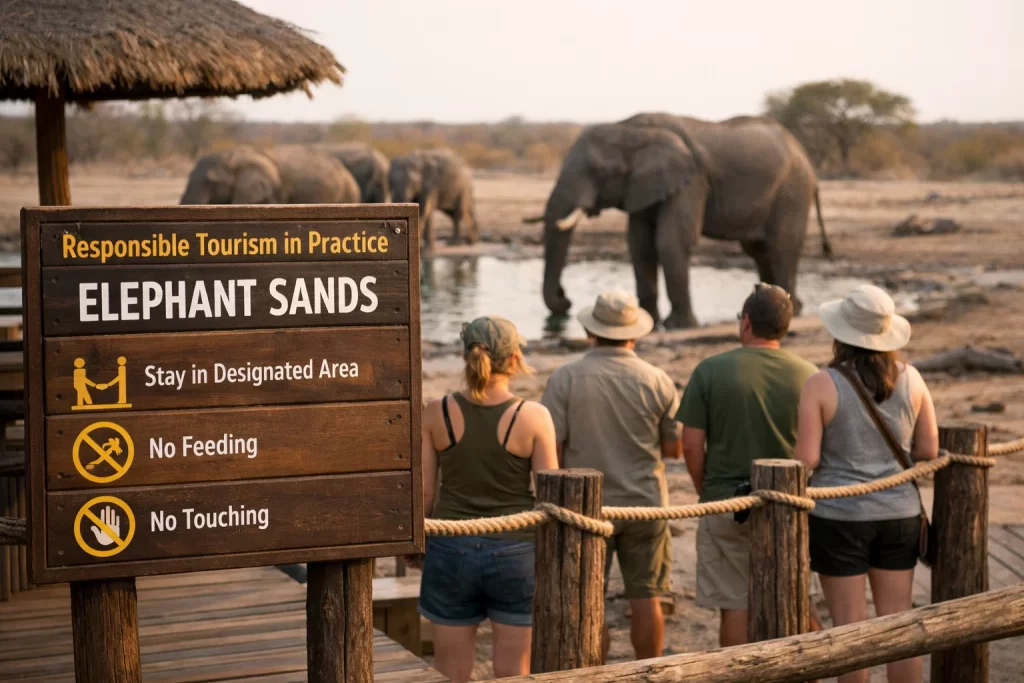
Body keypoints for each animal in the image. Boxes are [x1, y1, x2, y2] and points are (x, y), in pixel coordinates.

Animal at [525, 113, 833, 329]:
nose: (565, 297)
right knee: (758, 250)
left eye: (599, 171)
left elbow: (671, 240)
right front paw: (647, 321)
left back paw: (791, 309)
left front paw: (677, 326)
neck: (628, 128)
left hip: (793, 190)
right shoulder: (642, 186)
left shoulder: (691, 181)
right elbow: (639, 244)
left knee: (781, 246)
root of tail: (805, 155)